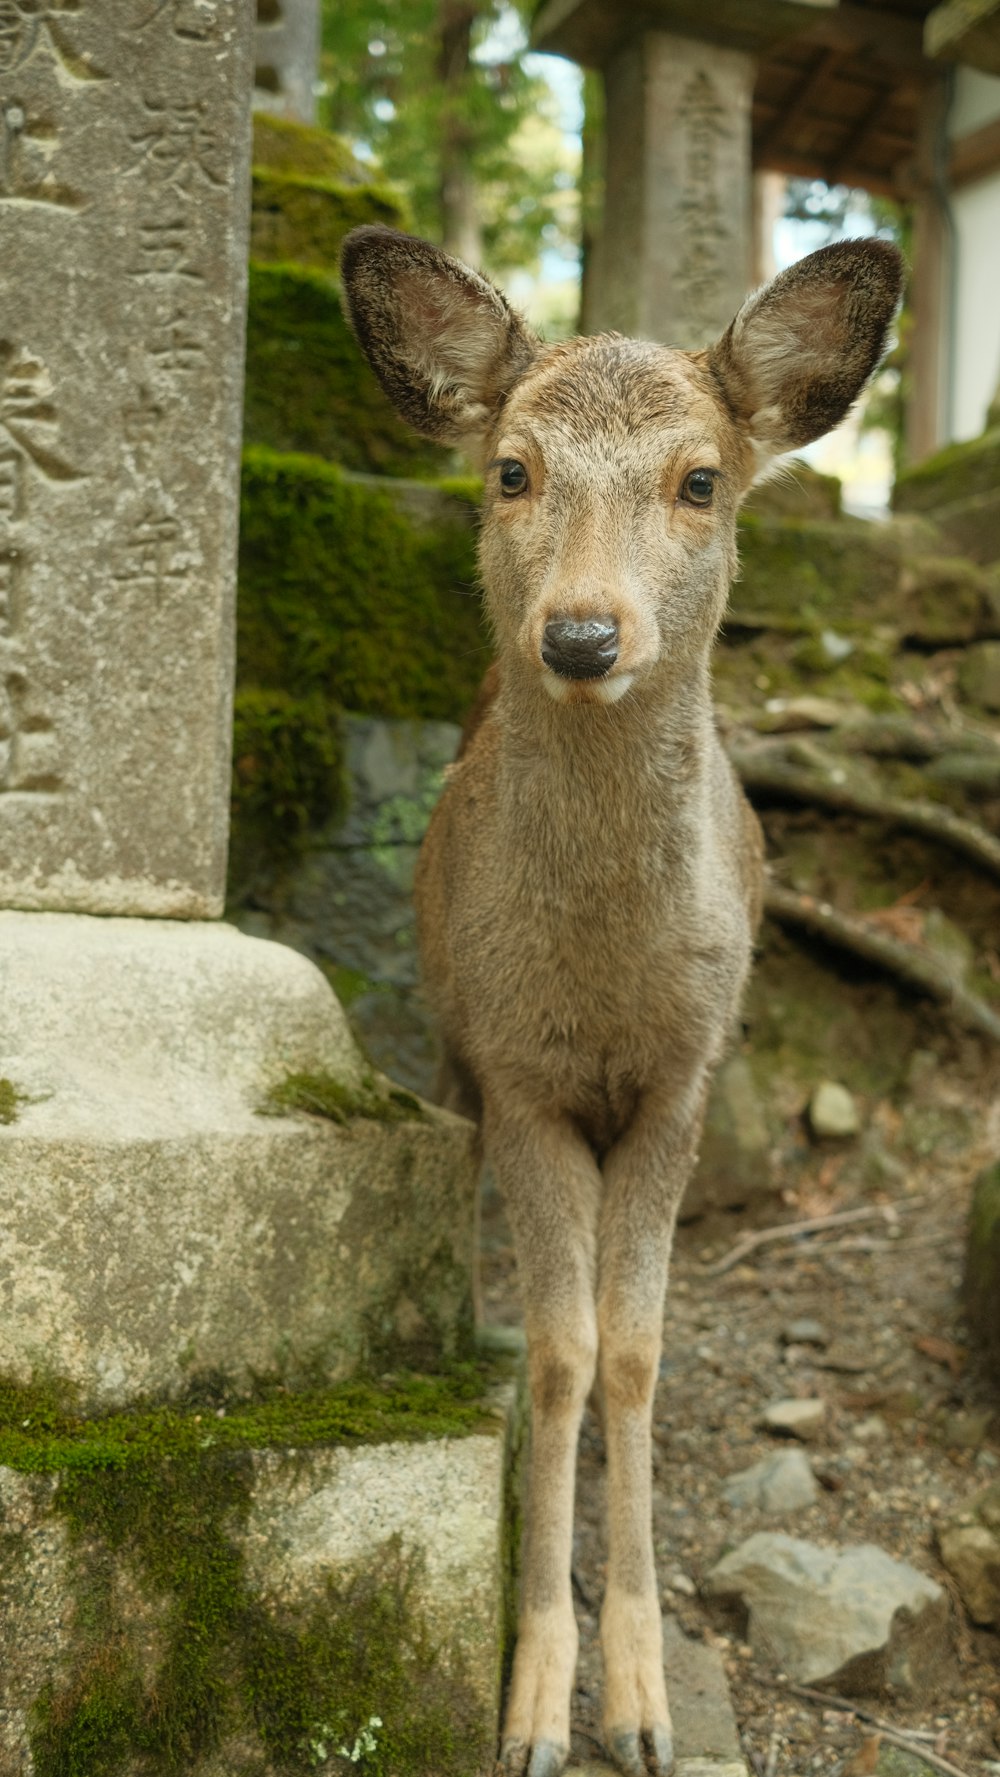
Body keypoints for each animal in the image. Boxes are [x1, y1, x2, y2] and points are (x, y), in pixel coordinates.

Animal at [341, 225, 902, 1777]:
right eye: (510, 469)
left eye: (700, 478)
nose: (583, 636)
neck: (601, 988)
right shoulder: (522, 1073)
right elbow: (562, 1355)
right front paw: (536, 1704)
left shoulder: (687, 1077)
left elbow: (639, 1353)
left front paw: (643, 1702)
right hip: (454, 1033)